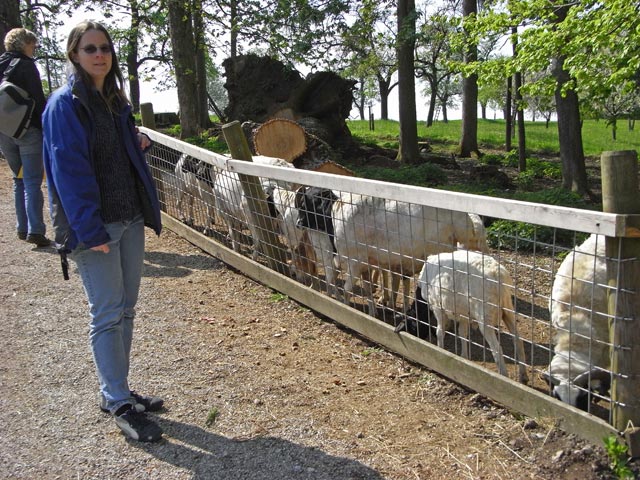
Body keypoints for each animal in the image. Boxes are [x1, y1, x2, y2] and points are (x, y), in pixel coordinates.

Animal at [418, 251, 528, 382]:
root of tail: (497, 274)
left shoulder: (437, 306)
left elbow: (440, 331)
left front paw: (440, 351)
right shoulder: (463, 314)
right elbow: (462, 334)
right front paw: (464, 357)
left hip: (485, 314)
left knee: (497, 349)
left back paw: (503, 376)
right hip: (507, 307)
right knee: (518, 340)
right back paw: (523, 375)